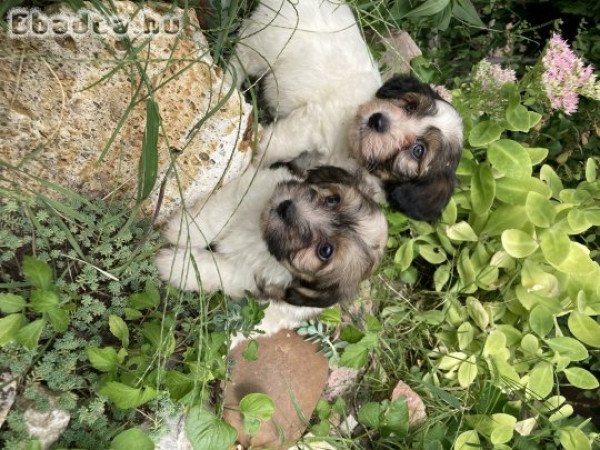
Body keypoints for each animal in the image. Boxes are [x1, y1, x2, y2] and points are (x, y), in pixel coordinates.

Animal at [156, 163, 390, 342]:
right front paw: (184, 229)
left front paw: (175, 265)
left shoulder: (249, 277)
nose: (287, 208)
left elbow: (216, 268)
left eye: (325, 250)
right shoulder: (252, 187)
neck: (261, 238)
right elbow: (218, 214)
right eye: (332, 200)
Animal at [230, 0, 464, 221]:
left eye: (418, 150)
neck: (350, 151)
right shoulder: (310, 124)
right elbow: (274, 148)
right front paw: (250, 166)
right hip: (261, 43)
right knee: (239, 60)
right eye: (410, 106)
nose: (377, 119)